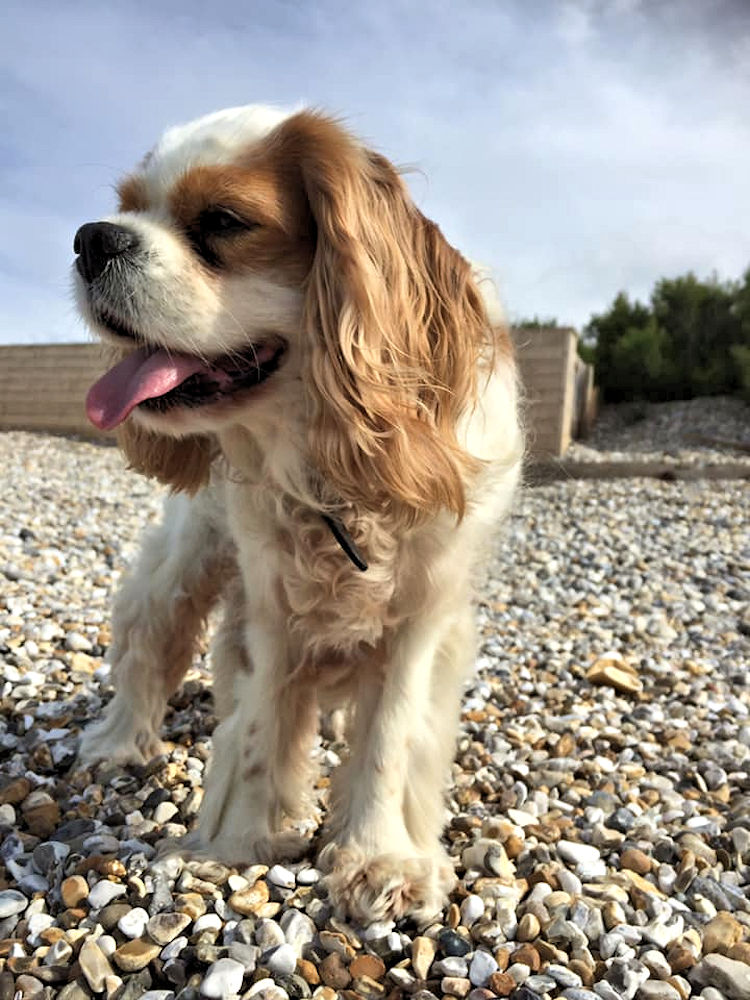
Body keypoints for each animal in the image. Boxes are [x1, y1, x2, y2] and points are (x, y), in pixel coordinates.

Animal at [76, 105, 524, 924]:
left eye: (223, 221)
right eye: (126, 206)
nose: (91, 238)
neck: (329, 465)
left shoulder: (423, 616)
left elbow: (391, 735)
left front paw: (379, 857)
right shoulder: (272, 603)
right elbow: (259, 727)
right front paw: (235, 843)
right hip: (189, 557)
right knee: (151, 639)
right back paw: (119, 740)